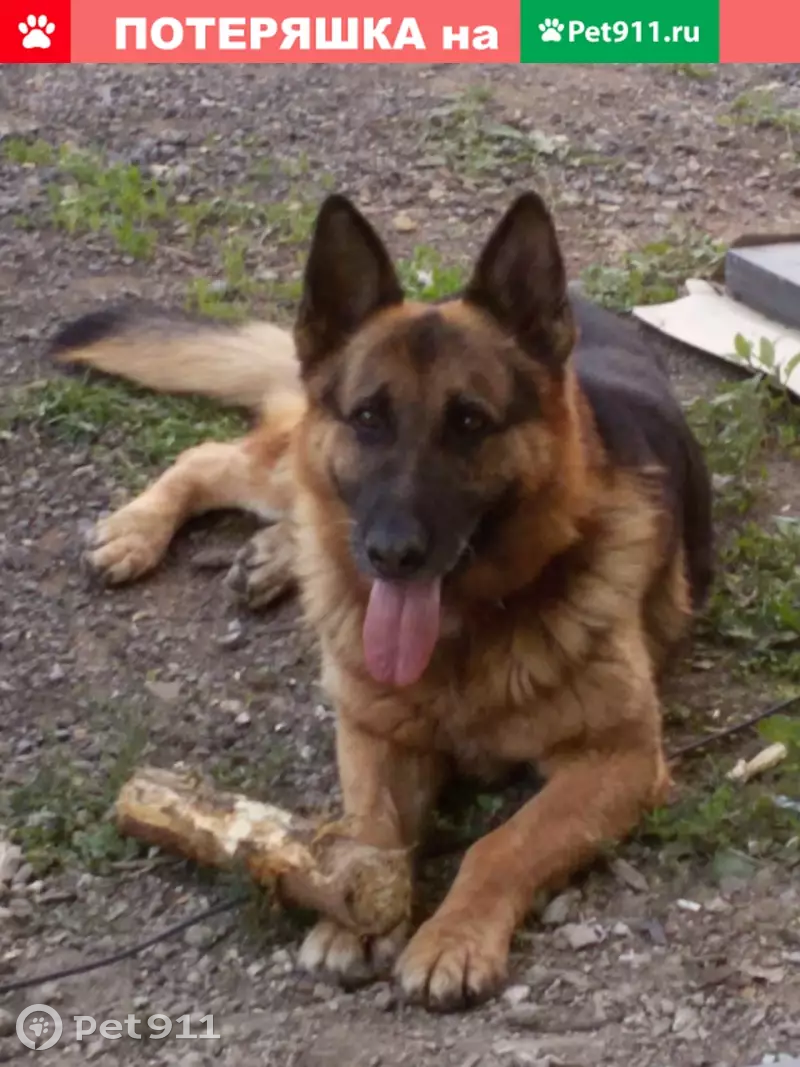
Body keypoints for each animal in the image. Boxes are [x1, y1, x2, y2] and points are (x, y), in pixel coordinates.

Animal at [50, 191, 713, 1011]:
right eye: (369, 416)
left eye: (469, 421)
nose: (392, 554)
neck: (463, 640)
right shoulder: (370, 731)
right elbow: (370, 825)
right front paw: (351, 913)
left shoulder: (618, 758)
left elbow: (502, 843)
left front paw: (451, 936)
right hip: (291, 471)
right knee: (215, 459)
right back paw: (138, 532)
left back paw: (271, 557)